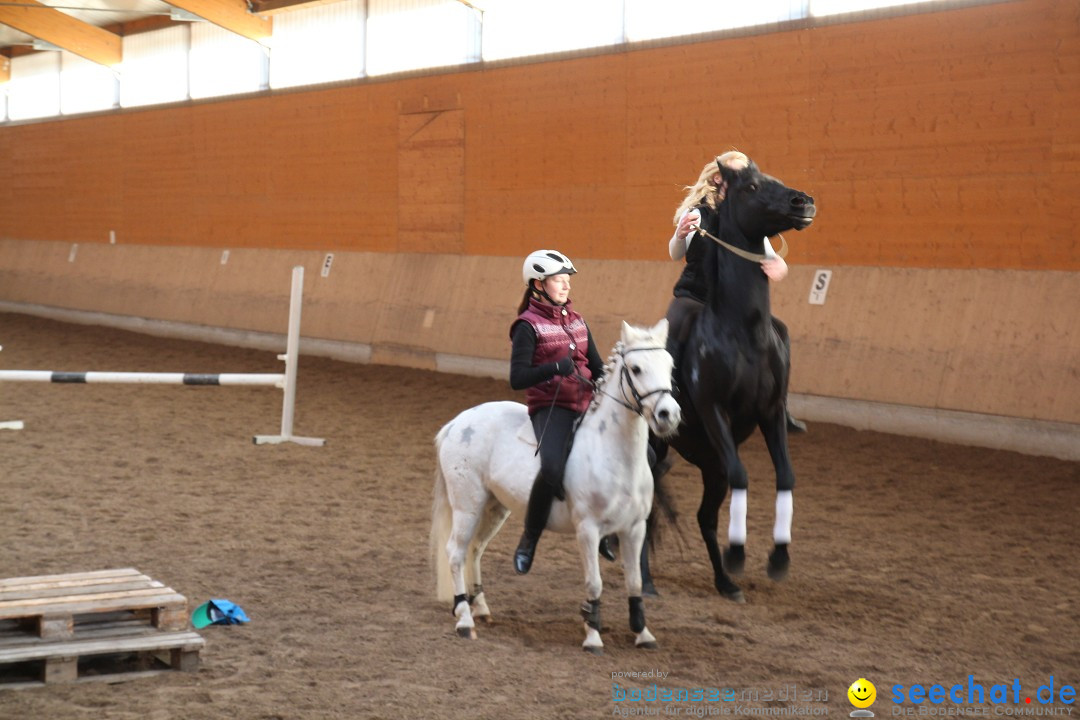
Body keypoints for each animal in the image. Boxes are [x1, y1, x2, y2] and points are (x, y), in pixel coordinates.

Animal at [427, 319, 673, 651]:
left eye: (670, 366)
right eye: (635, 369)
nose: (668, 414)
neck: (613, 454)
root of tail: (456, 423)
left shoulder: (634, 529)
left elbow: (634, 581)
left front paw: (643, 633)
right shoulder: (587, 529)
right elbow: (594, 583)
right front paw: (593, 636)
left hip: (495, 506)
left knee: (475, 549)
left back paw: (481, 607)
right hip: (468, 505)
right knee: (455, 552)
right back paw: (464, 618)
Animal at [652, 161, 812, 604]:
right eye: (753, 187)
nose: (804, 202)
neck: (742, 334)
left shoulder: (770, 413)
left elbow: (786, 476)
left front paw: (778, 558)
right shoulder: (714, 411)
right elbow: (744, 475)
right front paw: (738, 553)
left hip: (711, 464)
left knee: (704, 517)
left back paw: (725, 583)